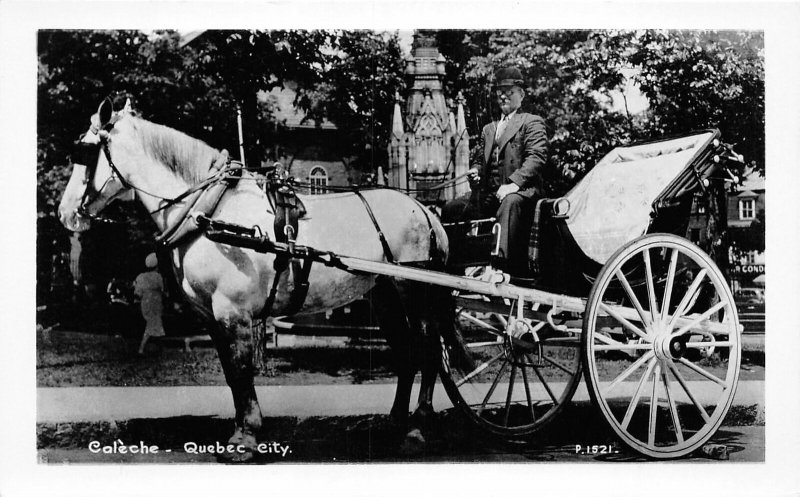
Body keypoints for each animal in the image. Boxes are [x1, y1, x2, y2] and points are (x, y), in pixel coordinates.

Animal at [58, 97, 454, 462]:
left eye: (86, 151)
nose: (65, 213)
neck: (210, 211)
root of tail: (425, 211)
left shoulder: (234, 313)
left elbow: (242, 371)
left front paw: (245, 438)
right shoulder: (213, 318)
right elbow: (232, 374)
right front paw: (242, 430)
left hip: (414, 289)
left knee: (427, 350)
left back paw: (418, 428)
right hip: (384, 293)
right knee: (406, 352)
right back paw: (395, 422)